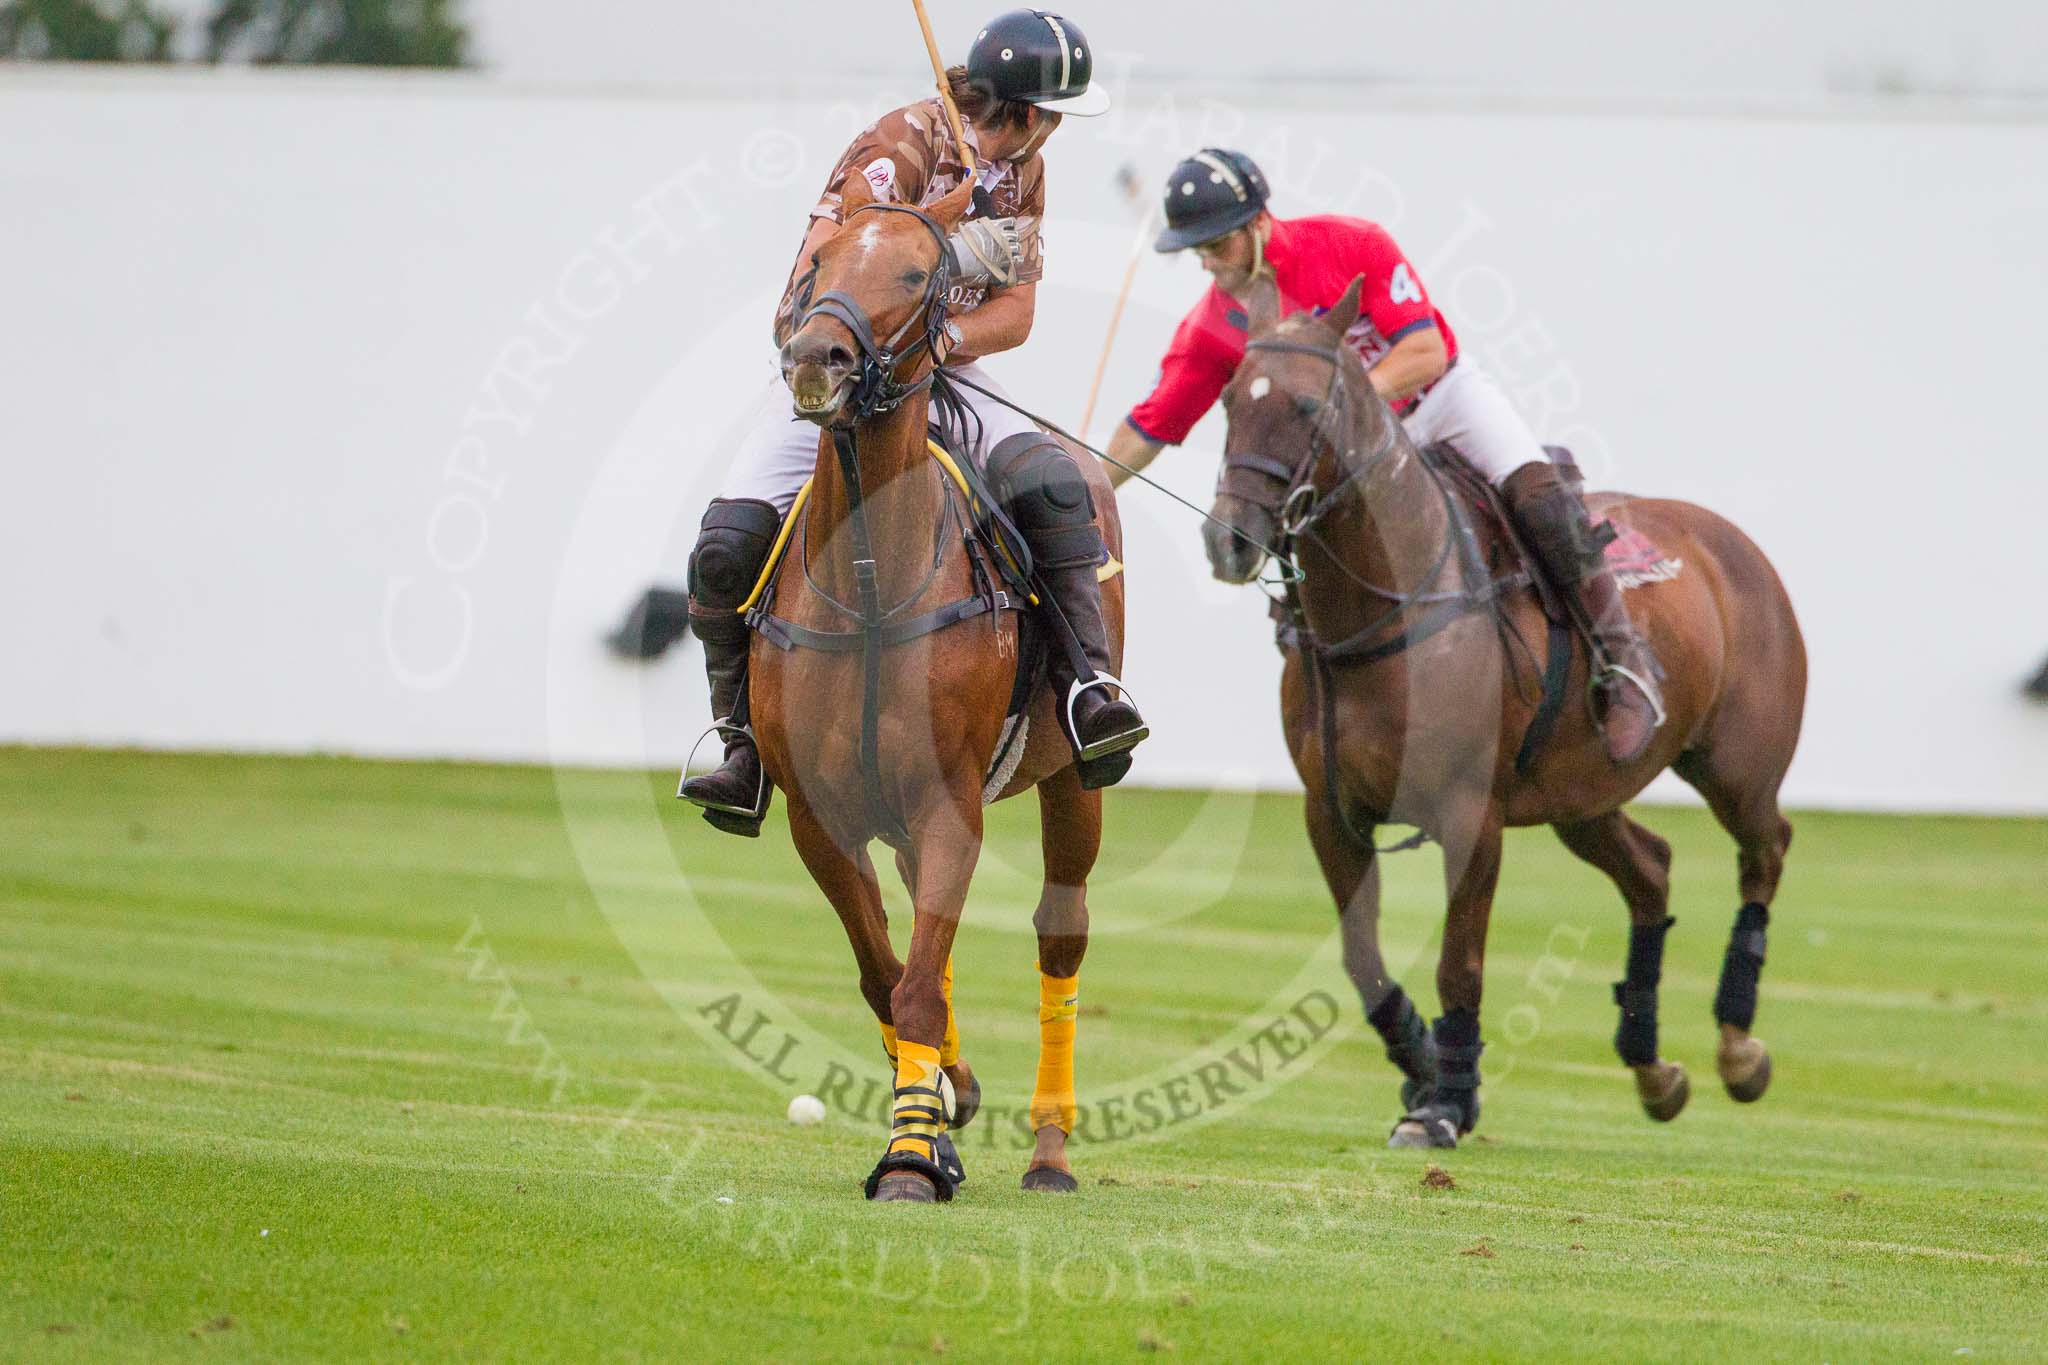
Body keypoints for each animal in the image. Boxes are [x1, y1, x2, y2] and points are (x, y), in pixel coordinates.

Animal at [757, 175, 1122, 1203]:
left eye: (920, 272)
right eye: (816, 264)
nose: (817, 357)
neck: (875, 588)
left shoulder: (948, 800)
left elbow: (918, 982)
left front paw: (911, 1159)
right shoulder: (820, 818)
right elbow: (889, 975)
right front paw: (940, 1110)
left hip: (1071, 783)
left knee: (1059, 938)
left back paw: (1049, 1154)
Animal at [1204, 274, 1802, 1146]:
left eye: (1309, 407)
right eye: (1227, 402)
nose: (1230, 540)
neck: (1384, 612)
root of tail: (1735, 542)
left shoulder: (1470, 812)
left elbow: (1460, 963)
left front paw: (1445, 1105)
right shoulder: (1331, 809)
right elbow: (1362, 961)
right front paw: (1426, 1071)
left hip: (1738, 768)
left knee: (1765, 850)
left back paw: (1737, 1045)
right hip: (1580, 796)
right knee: (1653, 867)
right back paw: (1652, 1065)